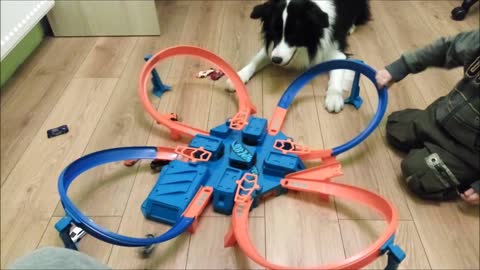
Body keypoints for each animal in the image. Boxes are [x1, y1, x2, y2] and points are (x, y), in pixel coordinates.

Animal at [228, 0, 372, 112]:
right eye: (274, 32)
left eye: (294, 35)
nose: (276, 60)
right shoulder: (272, 49)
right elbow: (256, 60)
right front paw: (238, 76)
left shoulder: (336, 51)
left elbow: (337, 73)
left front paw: (334, 98)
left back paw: (351, 27)